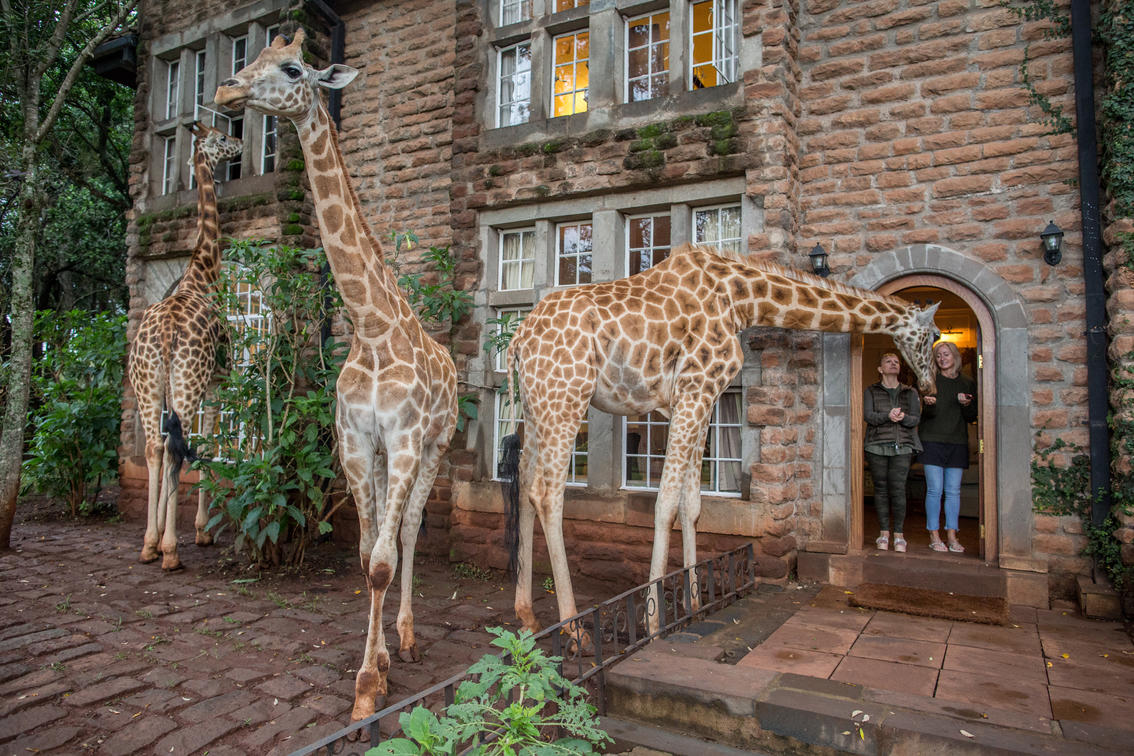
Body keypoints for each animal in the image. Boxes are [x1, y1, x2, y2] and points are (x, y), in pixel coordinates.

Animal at [129, 121, 242, 571]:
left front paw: (165, 532)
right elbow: (207, 442)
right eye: (222, 138)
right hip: (187, 381)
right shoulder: (217, 381)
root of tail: (163, 334)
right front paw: (199, 531)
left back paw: (150, 544)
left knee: (156, 447)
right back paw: (171, 551)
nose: (241, 144)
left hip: (147, 383)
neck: (203, 269)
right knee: (175, 450)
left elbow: (172, 446)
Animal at [214, 29, 458, 721]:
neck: (370, 326)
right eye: (252, 58)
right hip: (381, 456)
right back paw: (392, 643)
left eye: (294, 68)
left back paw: (408, 637)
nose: (226, 91)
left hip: (436, 447)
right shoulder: (354, 443)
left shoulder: (404, 440)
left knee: (410, 533)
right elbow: (364, 552)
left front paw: (369, 685)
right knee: (389, 534)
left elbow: (382, 559)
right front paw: (372, 667)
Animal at [506, 243, 940, 635]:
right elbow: (665, 503)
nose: (930, 387)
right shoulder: (695, 388)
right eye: (932, 334)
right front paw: (652, 622)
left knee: (525, 481)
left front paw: (695, 604)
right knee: (548, 494)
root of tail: (517, 341)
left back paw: (526, 616)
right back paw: (573, 628)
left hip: (537, 405)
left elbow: (692, 505)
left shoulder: (704, 397)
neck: (740, 299)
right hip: (567, 398)